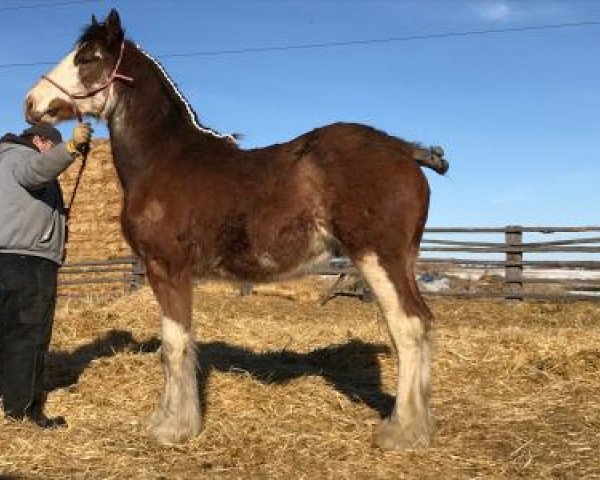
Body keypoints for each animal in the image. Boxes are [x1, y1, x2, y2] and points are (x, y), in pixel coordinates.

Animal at [25, 8, 448, 450]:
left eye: (88, 58)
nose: (31, 103)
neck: (164, 159)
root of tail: (402, 148)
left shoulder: (167, 268)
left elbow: (174, 345)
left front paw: (173, 427)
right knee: (421, 323)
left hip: (378, 257)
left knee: (408, 326)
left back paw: (402, 431)